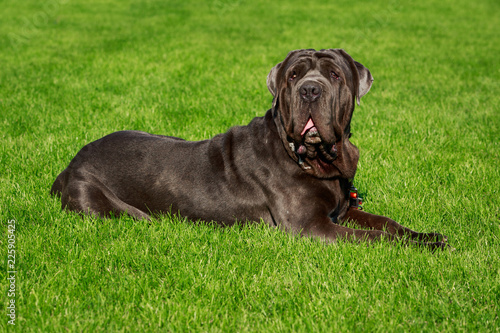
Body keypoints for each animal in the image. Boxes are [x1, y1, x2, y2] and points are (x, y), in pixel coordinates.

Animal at [50, 48, 450, 249]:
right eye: (294, 75)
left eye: (335, 75)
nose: (310, 90)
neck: (311, 159)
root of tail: (70, 163)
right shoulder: (312, 227)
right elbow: (375, 239)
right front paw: (423, 247)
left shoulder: (343, 211)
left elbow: (387, 225)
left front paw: (427, 236)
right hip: (106, 206)